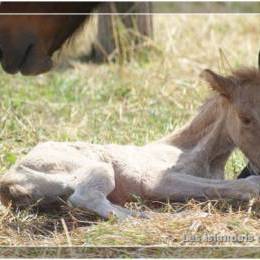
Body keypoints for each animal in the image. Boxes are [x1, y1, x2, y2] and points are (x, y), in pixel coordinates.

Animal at [1, 67, 260, 219]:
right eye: (245, 118)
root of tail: (9, 179)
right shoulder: (154, 179)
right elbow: (246, 184)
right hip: (96, 167)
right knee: (85, 197)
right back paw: (160, 217)